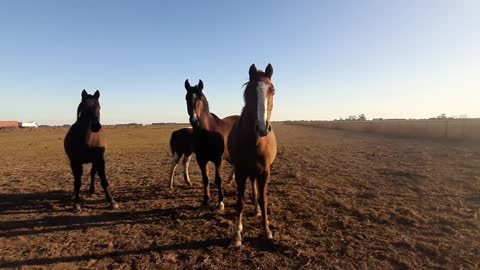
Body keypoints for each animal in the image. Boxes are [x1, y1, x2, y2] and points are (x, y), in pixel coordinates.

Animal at [187, 79, 242, 210]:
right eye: (187, 98)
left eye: (200, 99)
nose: (194, 121)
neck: (207, 133)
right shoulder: (201, 160)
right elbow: (205, 179)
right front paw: (206, 200)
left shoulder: (218, 160)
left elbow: (218, 179)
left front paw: (220, 202)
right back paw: (230, 180)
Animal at [229, 63, 278, 247]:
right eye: (249, 91)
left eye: (272, 90)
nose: (262, 128)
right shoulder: (240, 172)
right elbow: (240, 202)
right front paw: (237, 234)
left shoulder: (264, 172)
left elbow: (263, 200)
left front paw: (266, 230)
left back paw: (256, 209)